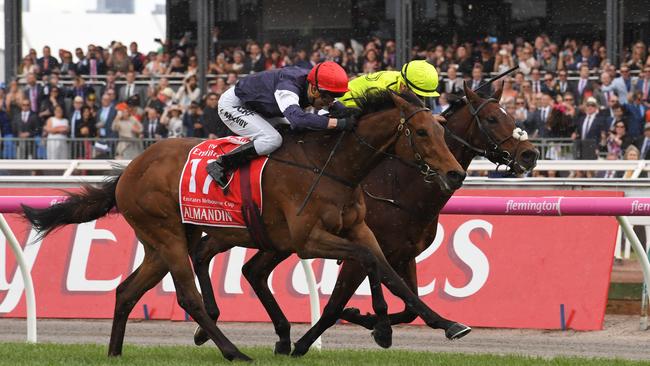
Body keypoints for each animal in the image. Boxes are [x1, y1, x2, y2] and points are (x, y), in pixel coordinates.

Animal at [21, 90, 466, 362]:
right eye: (421, 131)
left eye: (443, 129)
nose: (456, 173)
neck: (333, 165)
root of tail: (130, 169)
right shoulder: (308, 240)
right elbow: (367, 264)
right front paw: (376, 325)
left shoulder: (361, 229)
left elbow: (390, 272)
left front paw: (447, 324)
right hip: (167, 234)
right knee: (188, 297)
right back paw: (233, 350)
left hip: (162, 242)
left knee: (127, 290)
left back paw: (115, 353)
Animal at [189, 82, 536, 354]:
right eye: (492, 119)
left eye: (512, 116)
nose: (530, 154)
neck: (398, 182)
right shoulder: (354, 252)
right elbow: (335, 305)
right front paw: (317, 339)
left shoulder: (402, 253)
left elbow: (406, 301)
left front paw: (370, 319)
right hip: (239, 229)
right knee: (208, 253)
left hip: (274, 239)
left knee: (251, 270)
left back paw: (264, 333)